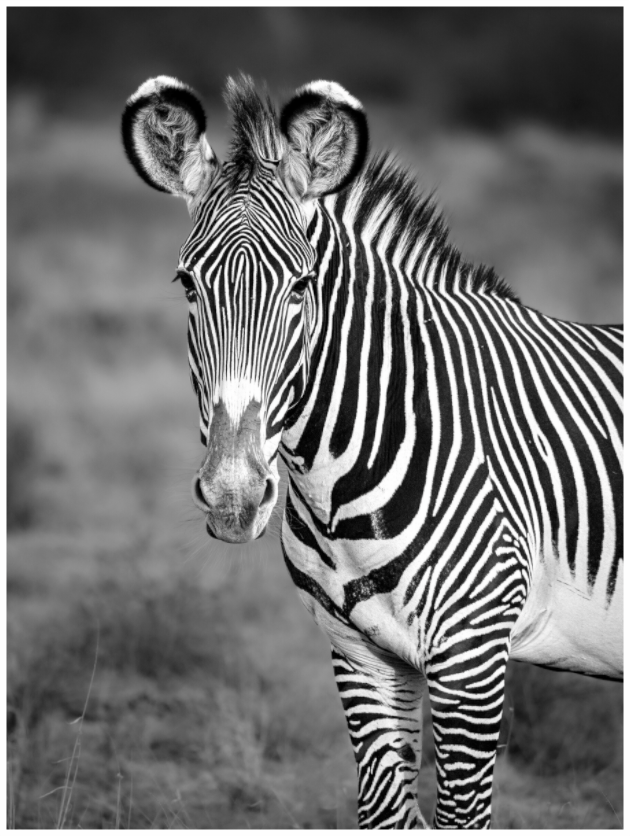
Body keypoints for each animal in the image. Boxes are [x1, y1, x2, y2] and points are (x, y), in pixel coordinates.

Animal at [122, 74, 623, 829]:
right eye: (187, 284)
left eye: (302, 287)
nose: (234, 496)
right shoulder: (360, 654)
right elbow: (383, 810)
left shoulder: (473, 658)